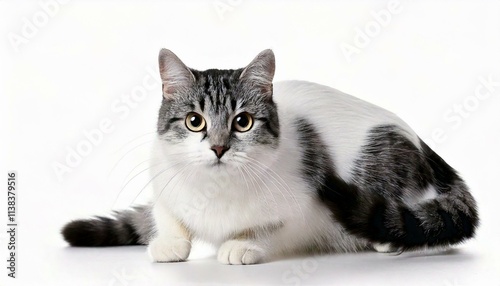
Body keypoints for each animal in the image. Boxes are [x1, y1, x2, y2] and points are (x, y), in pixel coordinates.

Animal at [60, 48, 478, 264]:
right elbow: (168, 216)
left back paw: (389, 240)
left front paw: (241, 245)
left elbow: (269, 229)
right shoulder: (163, 177)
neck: (214, 190)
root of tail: (427, 150)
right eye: (195, 121)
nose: (218, 147)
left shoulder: (302, 209)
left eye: (242, 122)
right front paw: (170, 242)